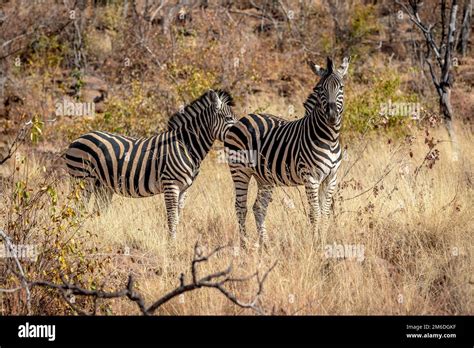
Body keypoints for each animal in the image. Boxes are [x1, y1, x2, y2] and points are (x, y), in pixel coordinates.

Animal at [64, 88, 237, 238]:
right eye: (229, 119)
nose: (239, 133)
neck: (186, 145)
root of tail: (77, 139)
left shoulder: (184, 189)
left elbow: (178, 217)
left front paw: (175, 240)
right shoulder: (170, 184)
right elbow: (172, 217)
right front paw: (171, 244)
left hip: (102, 184)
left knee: (98, 210)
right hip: (81, 179)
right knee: (78, 208)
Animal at [224, 56, 350, 247]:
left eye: (341, 87)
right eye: (320, 89)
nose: (332, 116)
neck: (330, 138)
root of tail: (243, 118)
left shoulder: (331, 178)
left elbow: (326, 212)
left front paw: (322, 242)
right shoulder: (310, 177)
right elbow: (315, 213)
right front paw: (315, 244)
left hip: (264, 177)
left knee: (258, 207)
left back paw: (265, 245)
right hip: (239, 171)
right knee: (240, 207)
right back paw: (245, 245)